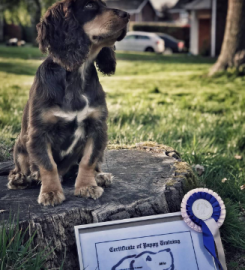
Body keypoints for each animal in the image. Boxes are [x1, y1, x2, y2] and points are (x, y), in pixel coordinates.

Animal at [7, 0, 130, 206]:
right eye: (89, 6)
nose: (127, 15)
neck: (76, 74)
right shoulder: (39, 132)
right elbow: (48, 165)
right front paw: (50, 192)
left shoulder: (97, 128)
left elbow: (88, 161)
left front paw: (86, 186)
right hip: (21, 143)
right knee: (22, 167)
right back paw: (22, 179)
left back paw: (100, 176)